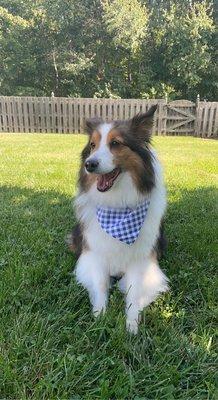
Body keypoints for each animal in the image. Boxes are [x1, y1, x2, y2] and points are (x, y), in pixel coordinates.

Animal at [67, 104, 169, 332]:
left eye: (115, 143)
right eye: (93, 145)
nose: (89, 164)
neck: (117, 207)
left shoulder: (143, 261)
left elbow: (134, 291)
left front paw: (131, 325)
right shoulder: (94, 255)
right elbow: (100, 284)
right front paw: (100, 316)